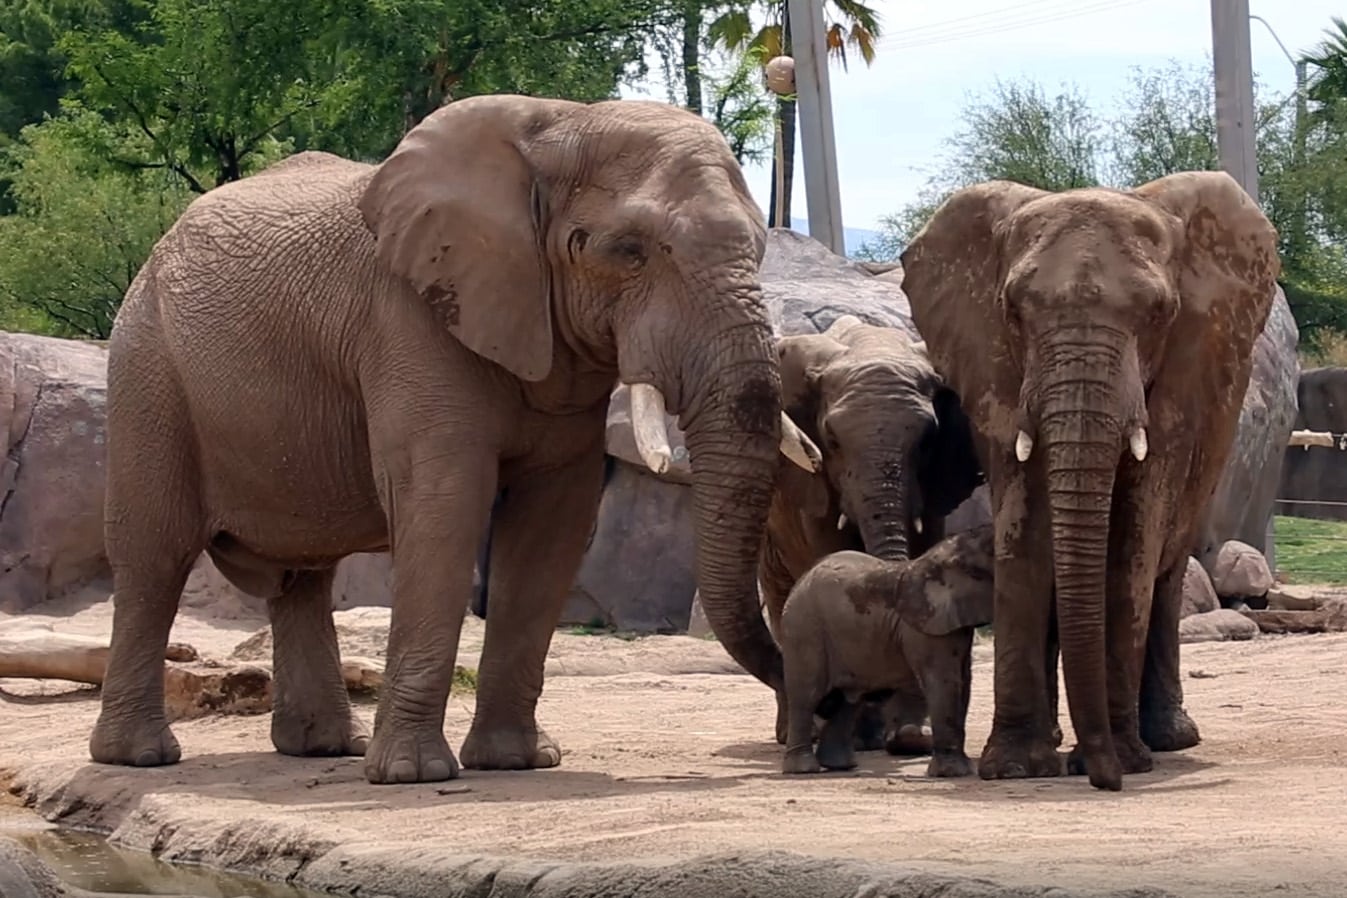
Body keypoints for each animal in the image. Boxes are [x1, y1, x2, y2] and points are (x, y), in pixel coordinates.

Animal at [89, 94, 823, 785]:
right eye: (626, 252)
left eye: (759, 249)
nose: (799, 744)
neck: (560, 124)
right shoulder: (408, 320)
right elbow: (444, 504)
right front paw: (412, 775)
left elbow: (552, 525)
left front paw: (517, 761)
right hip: (148, 370)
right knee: (155, 554)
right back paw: (139, 758)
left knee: (303, 575)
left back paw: (324, 748)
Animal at [762, 314, 983, 752]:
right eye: (831, 440)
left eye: (927, 441)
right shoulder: (817, 485)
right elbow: (830, 551)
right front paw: (865, 735)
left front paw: (913, 737)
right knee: (778, 601)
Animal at [778, 525, 994, 778]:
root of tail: (801, 581)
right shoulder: (922, 626)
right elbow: (943, 681)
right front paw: (953, 773)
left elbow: (963, 681)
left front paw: (962, 769)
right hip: (804, 630)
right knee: (807, 696)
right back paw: (803, 770)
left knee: (847, 701)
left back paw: (841, 766)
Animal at [900, 171, 1281, 791]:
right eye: (1012, 311)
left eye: (1159, 313)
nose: (1106, 778)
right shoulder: (996, 373)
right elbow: (1024, 518)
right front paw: (1014, 768)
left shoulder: (1180, 379)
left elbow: (1134, 537)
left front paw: (1122, 759)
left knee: (1168, 571)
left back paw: (1167, 741)